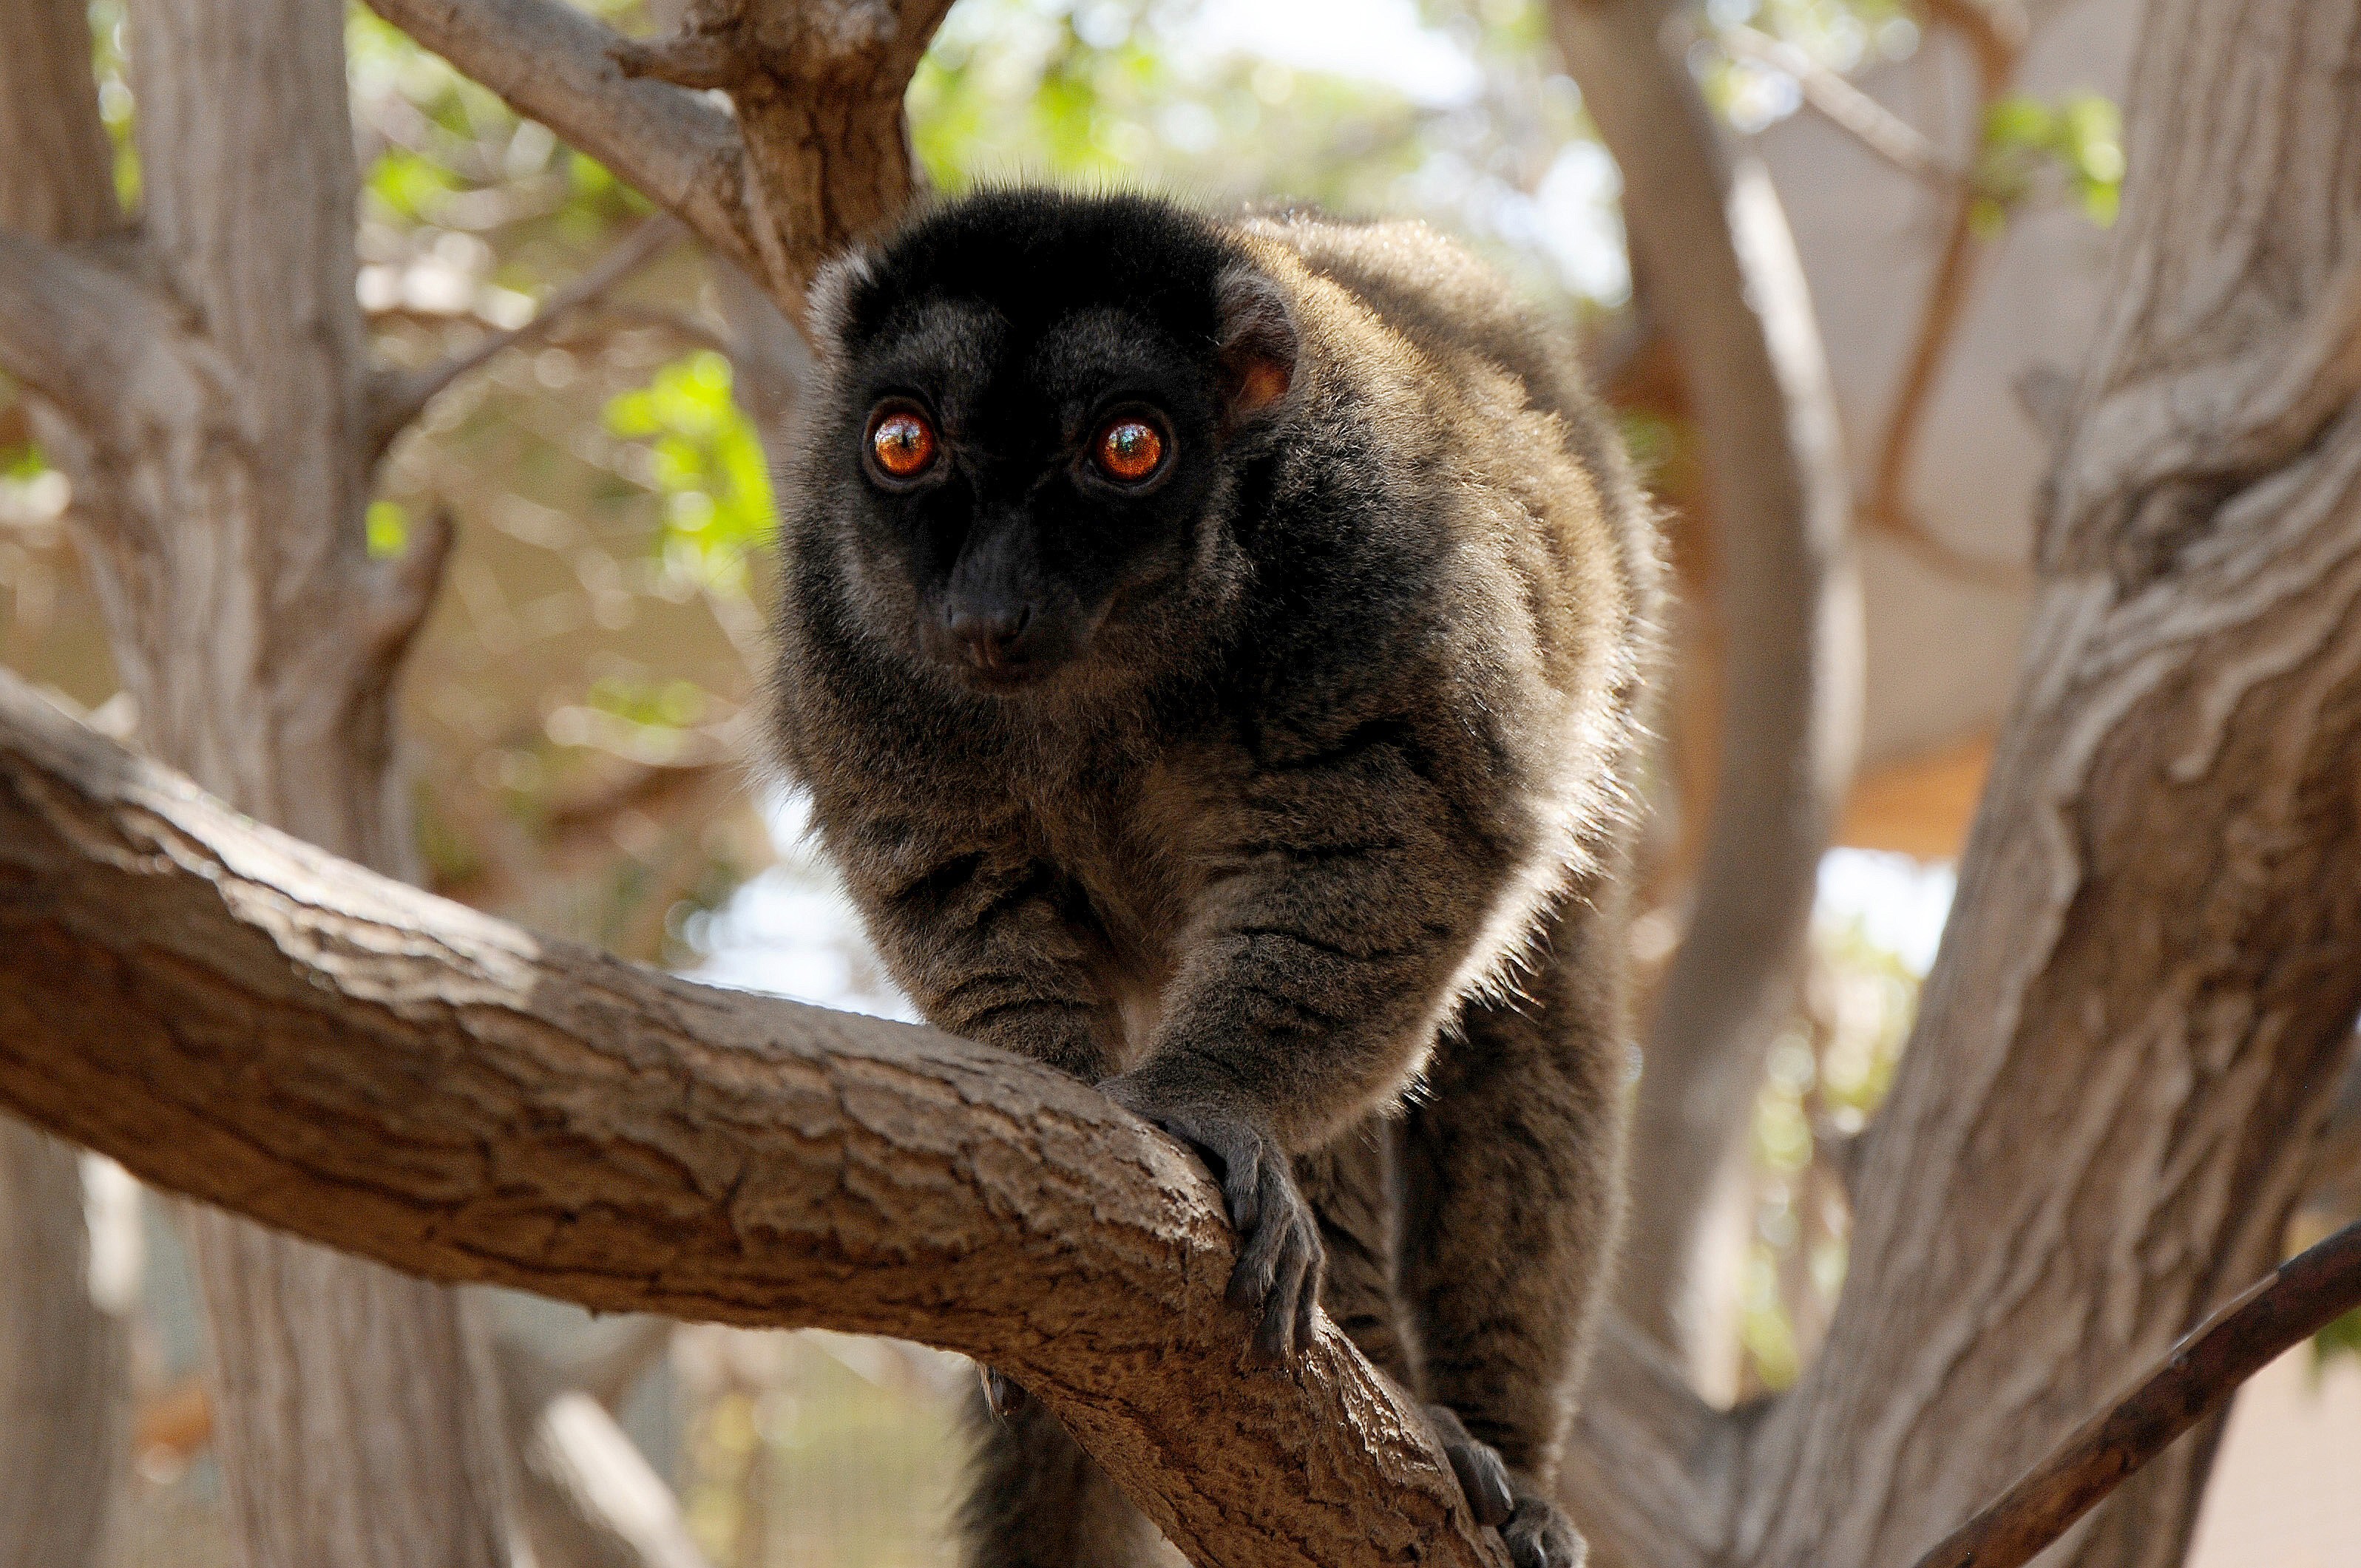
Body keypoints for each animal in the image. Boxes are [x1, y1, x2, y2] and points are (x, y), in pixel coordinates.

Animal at [767, 187, 1661, 1568]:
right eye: (903, 443)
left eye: (1127, 447)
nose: (985, 610)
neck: (1117, 660)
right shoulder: (847, 642)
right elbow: (951, 878)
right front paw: (1057, 1101)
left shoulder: (1383, 581)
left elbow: (1386, 851)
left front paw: (1205, 1104)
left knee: (1532, 1051)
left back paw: (1490, 1448)